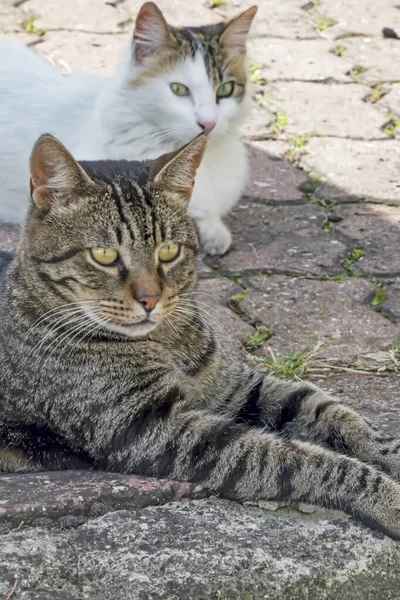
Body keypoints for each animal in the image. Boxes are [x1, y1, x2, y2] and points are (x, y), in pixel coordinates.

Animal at [0, 135, 400, 540]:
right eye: (104, 255)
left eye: (169, 250)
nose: (150, 299)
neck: (166, 342)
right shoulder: (152, 430)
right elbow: (296, 459)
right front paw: (388, 498)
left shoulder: (238, 387)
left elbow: (333, 411)